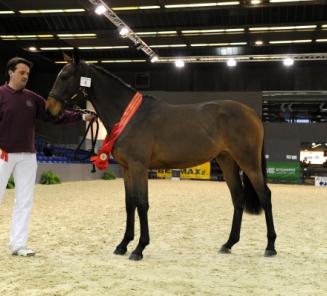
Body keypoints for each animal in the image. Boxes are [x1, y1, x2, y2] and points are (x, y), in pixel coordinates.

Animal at [46, 52, 276, 260]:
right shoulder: (127, 169)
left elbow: (142, 204)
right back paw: (228, 244)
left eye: (64, 76)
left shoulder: (139, 167)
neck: (130, 116)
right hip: (227, 161)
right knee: (238, 197)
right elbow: (130, 204)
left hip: (248, 162)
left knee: (265, 195)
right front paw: (123, 245)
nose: (49, 110)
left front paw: (139, 248)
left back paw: (270, 247)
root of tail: (252, 112)